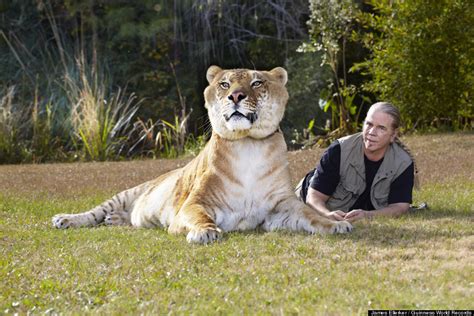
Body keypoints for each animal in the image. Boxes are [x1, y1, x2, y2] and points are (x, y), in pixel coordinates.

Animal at [52, 65, 352, 243]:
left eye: (257, 83)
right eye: (224, 84)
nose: (236, 96)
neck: (248, 147)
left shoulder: (279, 209)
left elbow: (310, 215)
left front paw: (336, 224)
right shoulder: (194, 203)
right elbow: (197, 216)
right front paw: (206, 232)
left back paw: (115, 220)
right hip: (127, 193)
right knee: (94, 212)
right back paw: (65, 219)